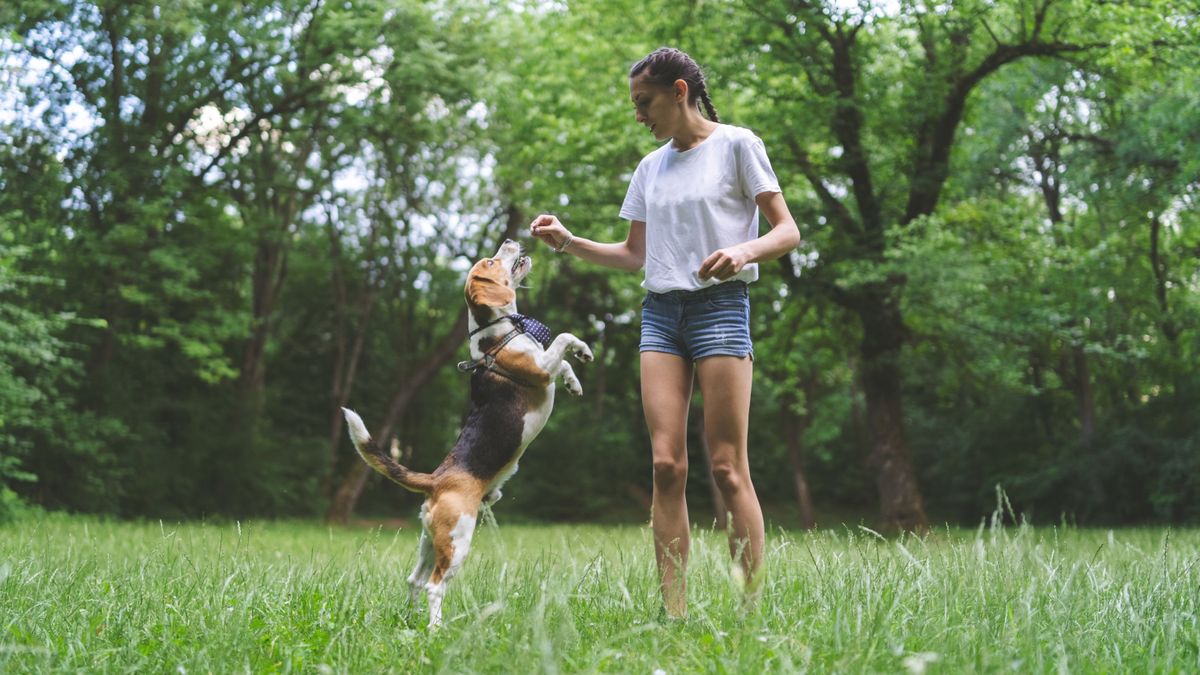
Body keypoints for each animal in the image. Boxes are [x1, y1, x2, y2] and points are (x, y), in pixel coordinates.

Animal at [343, 237, 590, 624]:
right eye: (490, 261)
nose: (510, 240)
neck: (500, 334)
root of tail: (435, 480)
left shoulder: (546, 367)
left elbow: (563, 362)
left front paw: (574, 381)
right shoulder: (538, 371)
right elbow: (563, 340)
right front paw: (583, 348)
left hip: (430, 540)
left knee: (414, 579)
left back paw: (413, 620)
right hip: (458, 539)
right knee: (434, 585)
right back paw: (437, 628)